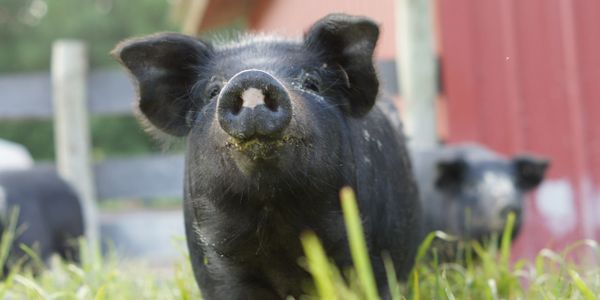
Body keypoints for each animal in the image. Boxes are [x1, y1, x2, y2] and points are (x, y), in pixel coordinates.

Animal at [112, 13, 422, 298]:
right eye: (212, 90)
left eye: (312, 82)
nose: (252, 77)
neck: (273, 210)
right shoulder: (216, 262)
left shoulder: (372, 251)